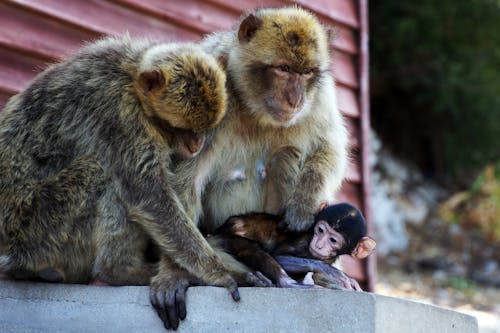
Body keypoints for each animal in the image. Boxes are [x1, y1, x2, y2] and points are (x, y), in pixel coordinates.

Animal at [0, 37, 270, 314]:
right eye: (180, 128)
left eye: (205, 128)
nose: (197, 144)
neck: (131, 77)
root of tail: (13, 251)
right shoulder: (119, 115)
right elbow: (149, 196)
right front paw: (220, 273)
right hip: (39, 230)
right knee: (101, 174)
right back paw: (118, 270)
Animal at [211, 201, 376, 290]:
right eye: (320, 230)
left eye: (333, 240)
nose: (319, 244)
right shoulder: (304, 241)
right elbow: (279, 257)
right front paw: (332, 272)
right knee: (249, 248)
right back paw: (287, 283)